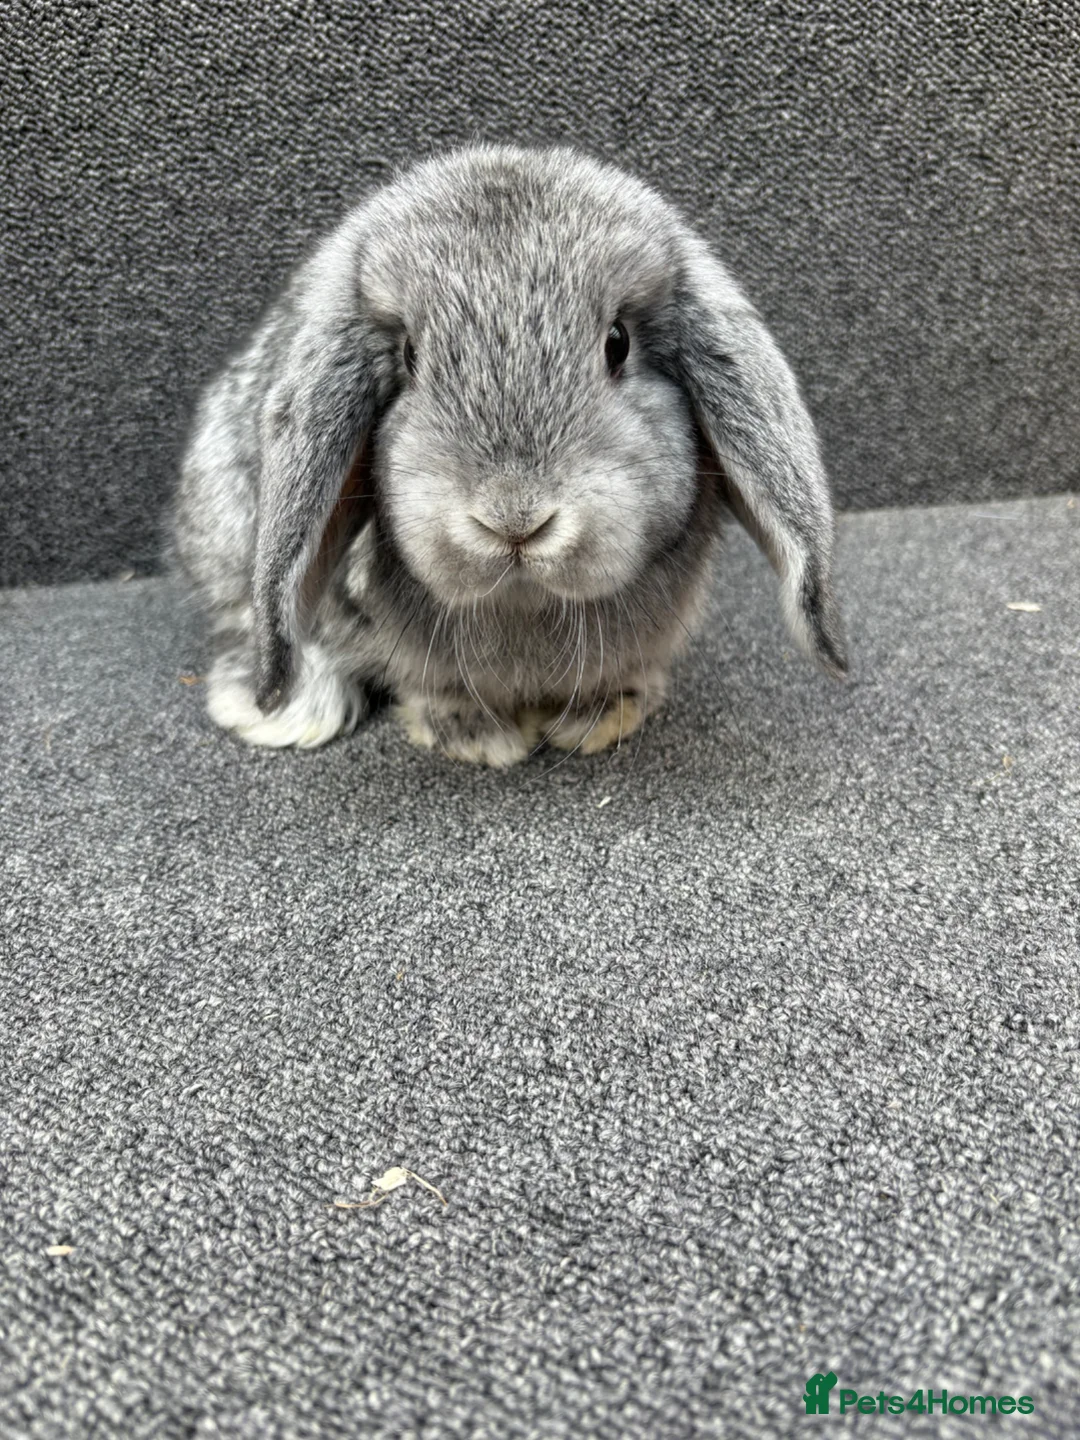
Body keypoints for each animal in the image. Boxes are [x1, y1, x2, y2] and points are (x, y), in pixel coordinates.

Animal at [172, 143, 847, 766]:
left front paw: (603, 718)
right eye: (410, 357)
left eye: (618, 343)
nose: (514, 519)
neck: (526, 604)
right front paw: (476, 738)